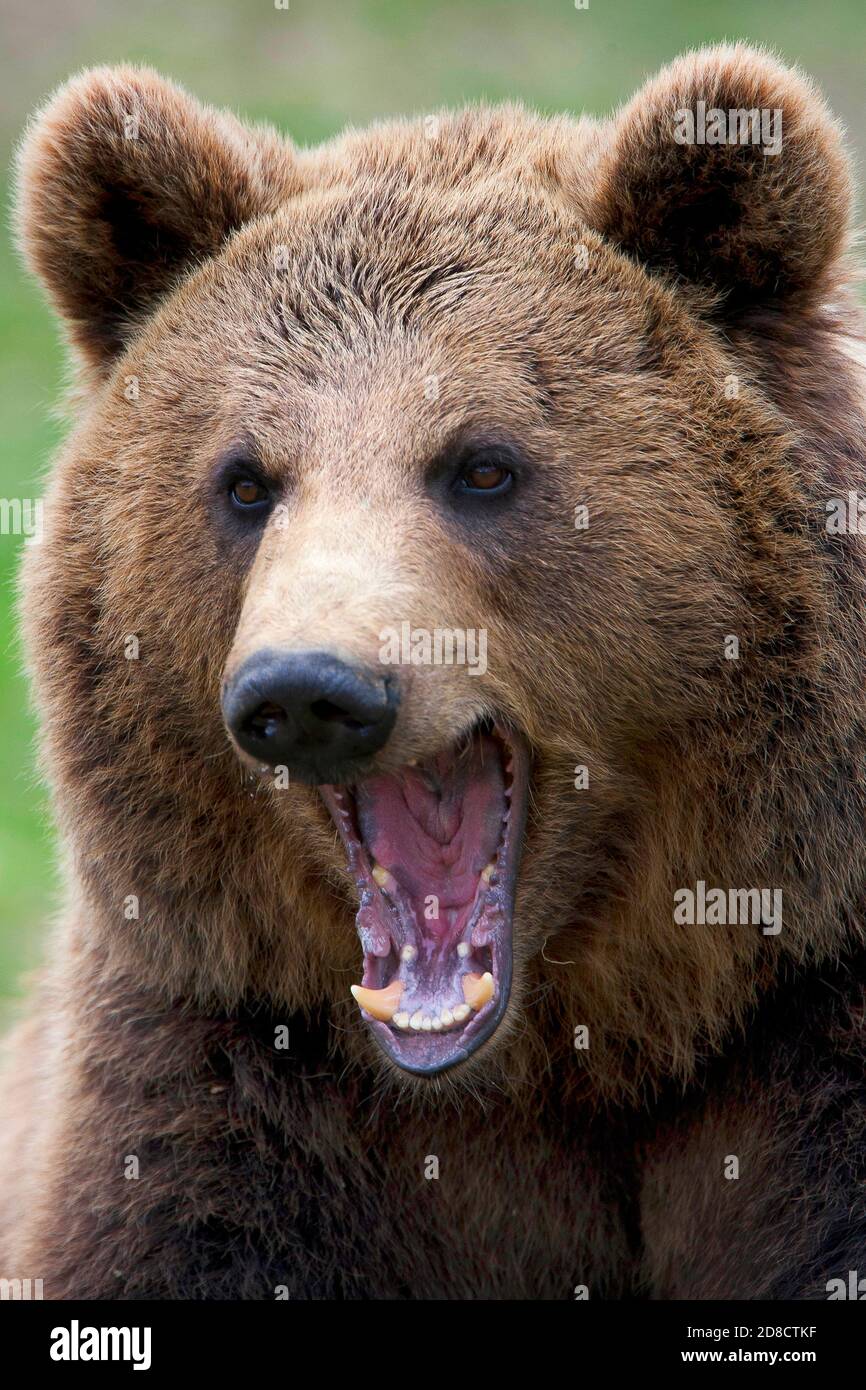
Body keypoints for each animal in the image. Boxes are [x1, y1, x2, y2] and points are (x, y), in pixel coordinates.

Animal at [1, 43, 866, 1295]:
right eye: (244, 481)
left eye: (482, 465)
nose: (307, 691)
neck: (555, 1064)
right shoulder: (222, 1079)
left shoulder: (804, 1041)